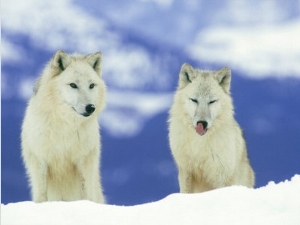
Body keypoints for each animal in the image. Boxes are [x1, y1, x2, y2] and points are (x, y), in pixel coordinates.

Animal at [21, 50, 106, 203]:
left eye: (91, 85)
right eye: (73, 85)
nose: (90, 108)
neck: (65, 126)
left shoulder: (85, 160)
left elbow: (85, 191)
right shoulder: (39, 159)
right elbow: (41, 194)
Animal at [168, 63, 254, 193]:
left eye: (212, 101)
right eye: (194, 100)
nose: (202, 123)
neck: (199, 143)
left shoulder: (221, 174)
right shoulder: (186, 170)